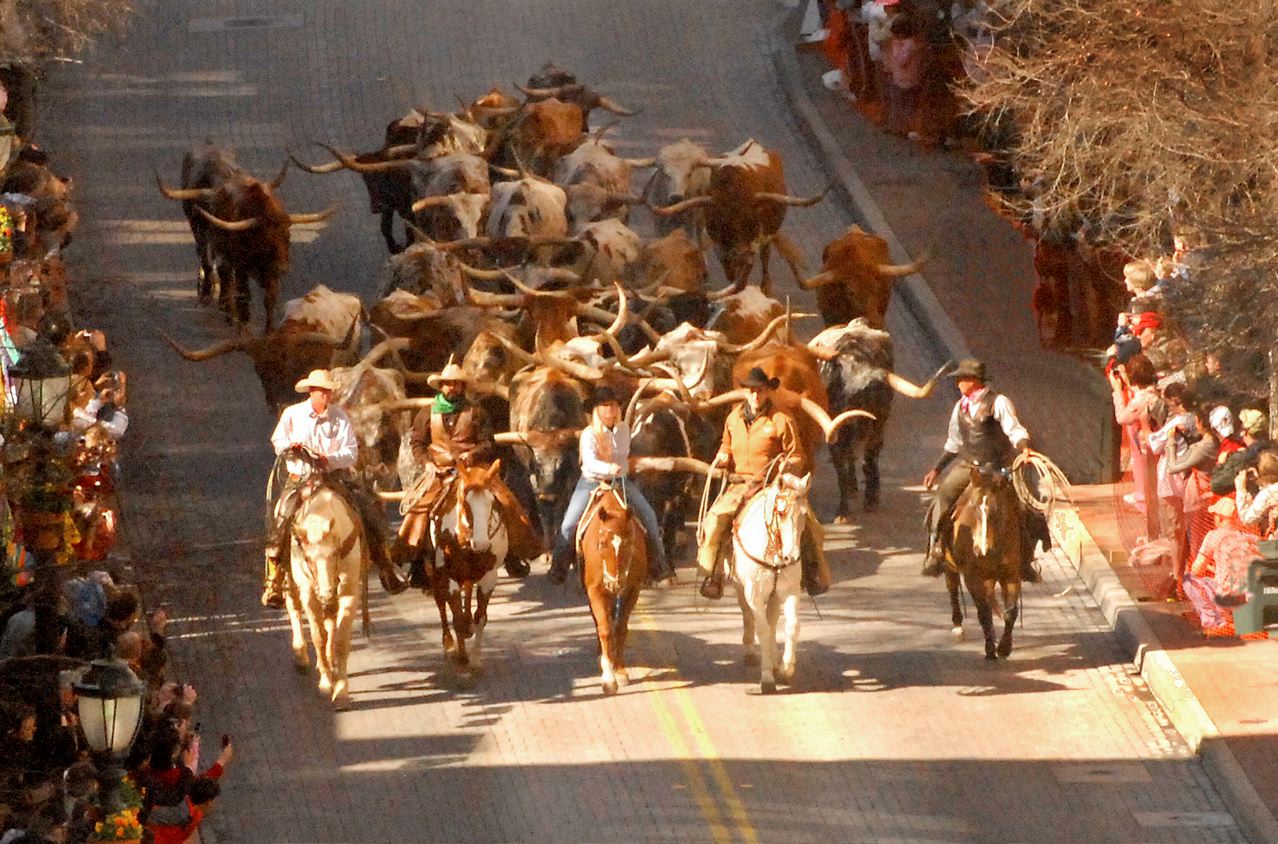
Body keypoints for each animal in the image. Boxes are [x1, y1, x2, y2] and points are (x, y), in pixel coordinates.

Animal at [283, 478, 370, 711]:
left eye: (335, 554)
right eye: (308, 559)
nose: (326, 593)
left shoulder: (349, 590)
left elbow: (340, 639)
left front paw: (340, 691)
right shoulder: (308, 592)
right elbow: (318, 636)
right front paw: (325, 683)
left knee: (330, 621)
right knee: (293, 606)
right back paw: (301, 656)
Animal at [580, 483, 649, 695]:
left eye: (628, 542)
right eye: (602, 543)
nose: (614, 583)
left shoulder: (632, 590)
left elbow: (620, 628)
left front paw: (619, 670)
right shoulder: (595, 591)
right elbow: (604, 629)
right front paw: (608, 678)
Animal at [731, 470, 807, 695]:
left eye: (804, 515)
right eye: (781, 514)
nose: (792, 557)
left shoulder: (790, 591)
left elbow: (791, 626)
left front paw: (786, 667)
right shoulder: (753, 594)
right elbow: (762, 630)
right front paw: (766, 679)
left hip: (773, 595)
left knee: (772, 621)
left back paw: (774, 661)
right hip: (740, 588)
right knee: (750, 617)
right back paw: (751, 652)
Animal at [950, 460, 1027, 659]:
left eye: (998, 512)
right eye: (973, 507)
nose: (981, 550)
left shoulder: (1011, 574)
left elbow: (1010, 612)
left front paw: (1004, 647)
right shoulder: (972, 577)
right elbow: (983, 612)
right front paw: (990, 649)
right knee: (952, 587)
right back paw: (958, 627)